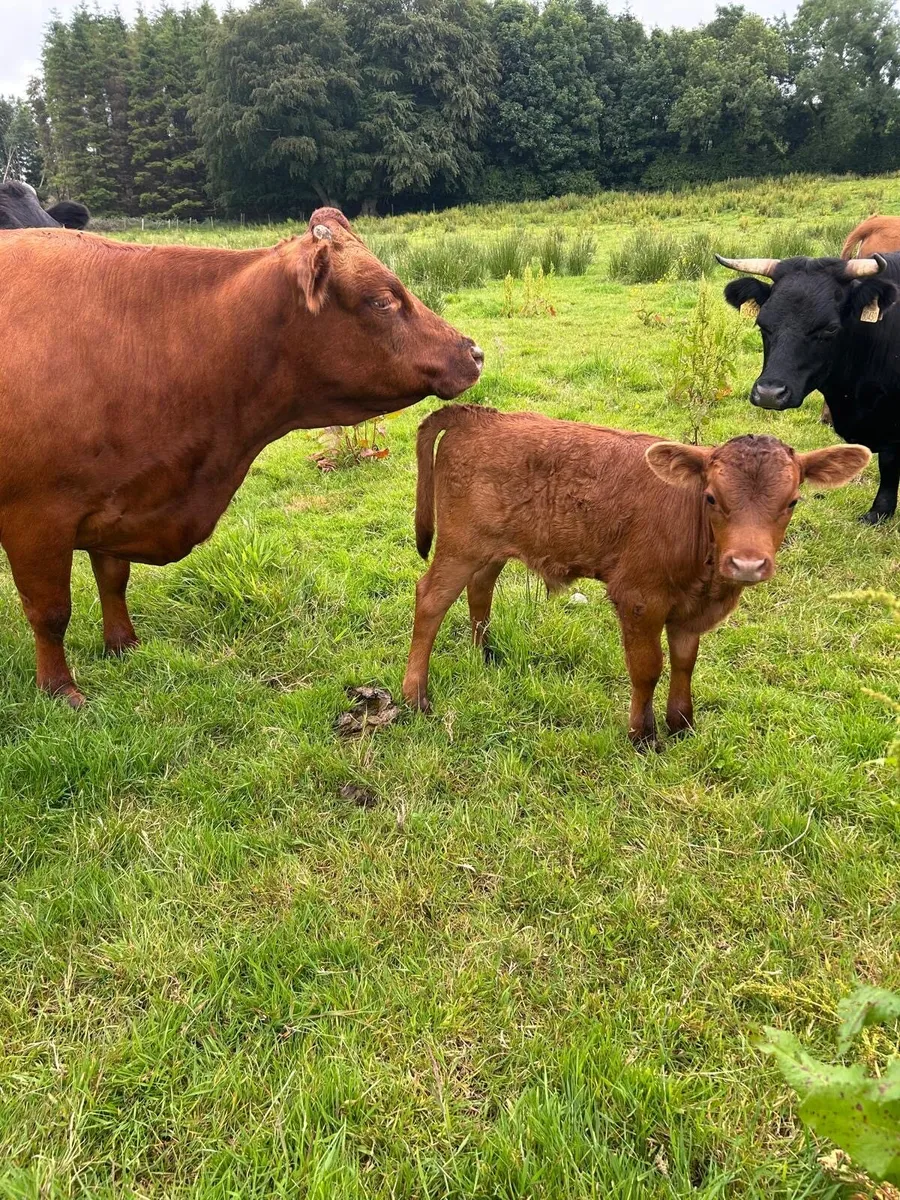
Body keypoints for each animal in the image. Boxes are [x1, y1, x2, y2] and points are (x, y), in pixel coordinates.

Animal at [0, 208, 483, 705]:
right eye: (382, 300)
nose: (475, 352)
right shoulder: (37, 518)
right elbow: (50, 611)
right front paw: (59, 688)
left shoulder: (118, 500)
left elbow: (113, 578)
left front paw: (123, 645)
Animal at [402, 405, 869, 748]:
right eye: (711, 497)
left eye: (792, 501)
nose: (747, 564)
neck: (707, 579)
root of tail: (480, 414)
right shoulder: (639, 598)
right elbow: (647, 668)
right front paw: (642, 735)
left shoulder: (690, 612)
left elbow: (684, 662)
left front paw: (681, 725)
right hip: (461, 545)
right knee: (430, 600)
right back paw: (415, 696)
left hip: (492, 547)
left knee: (480, 588)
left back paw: (485, 655)